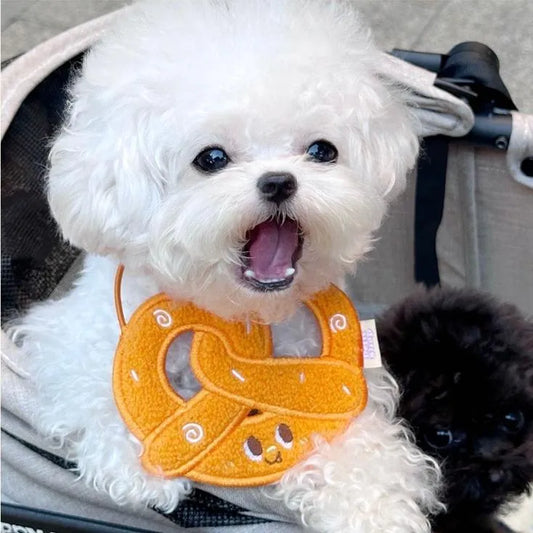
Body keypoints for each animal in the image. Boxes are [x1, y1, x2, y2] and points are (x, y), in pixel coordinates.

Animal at [15, 0, 440, 528]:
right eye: (211, 158)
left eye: (322, 150)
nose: (278, 181)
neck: (238, 312)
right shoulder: (66, 338)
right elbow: (93, 380)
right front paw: (136, 461)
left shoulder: (342, 379)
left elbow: (360, 443)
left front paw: (373, 506)